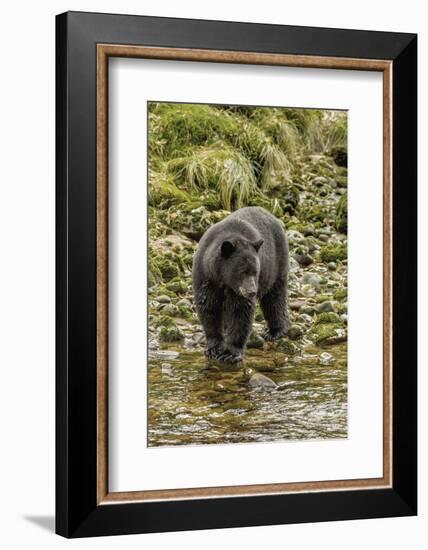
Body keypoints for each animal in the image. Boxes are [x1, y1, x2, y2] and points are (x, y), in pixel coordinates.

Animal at [192, 205, 290, 364]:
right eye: (243, 272)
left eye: (255, 271)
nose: (252, 292)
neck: (222, 277)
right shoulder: (205, 276)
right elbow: (208, 306)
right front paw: (213, 348)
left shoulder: (238, 289)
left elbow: (240, 310)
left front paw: (230, 353)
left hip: (276, 263)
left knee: (275, 297)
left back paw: (275, 331)